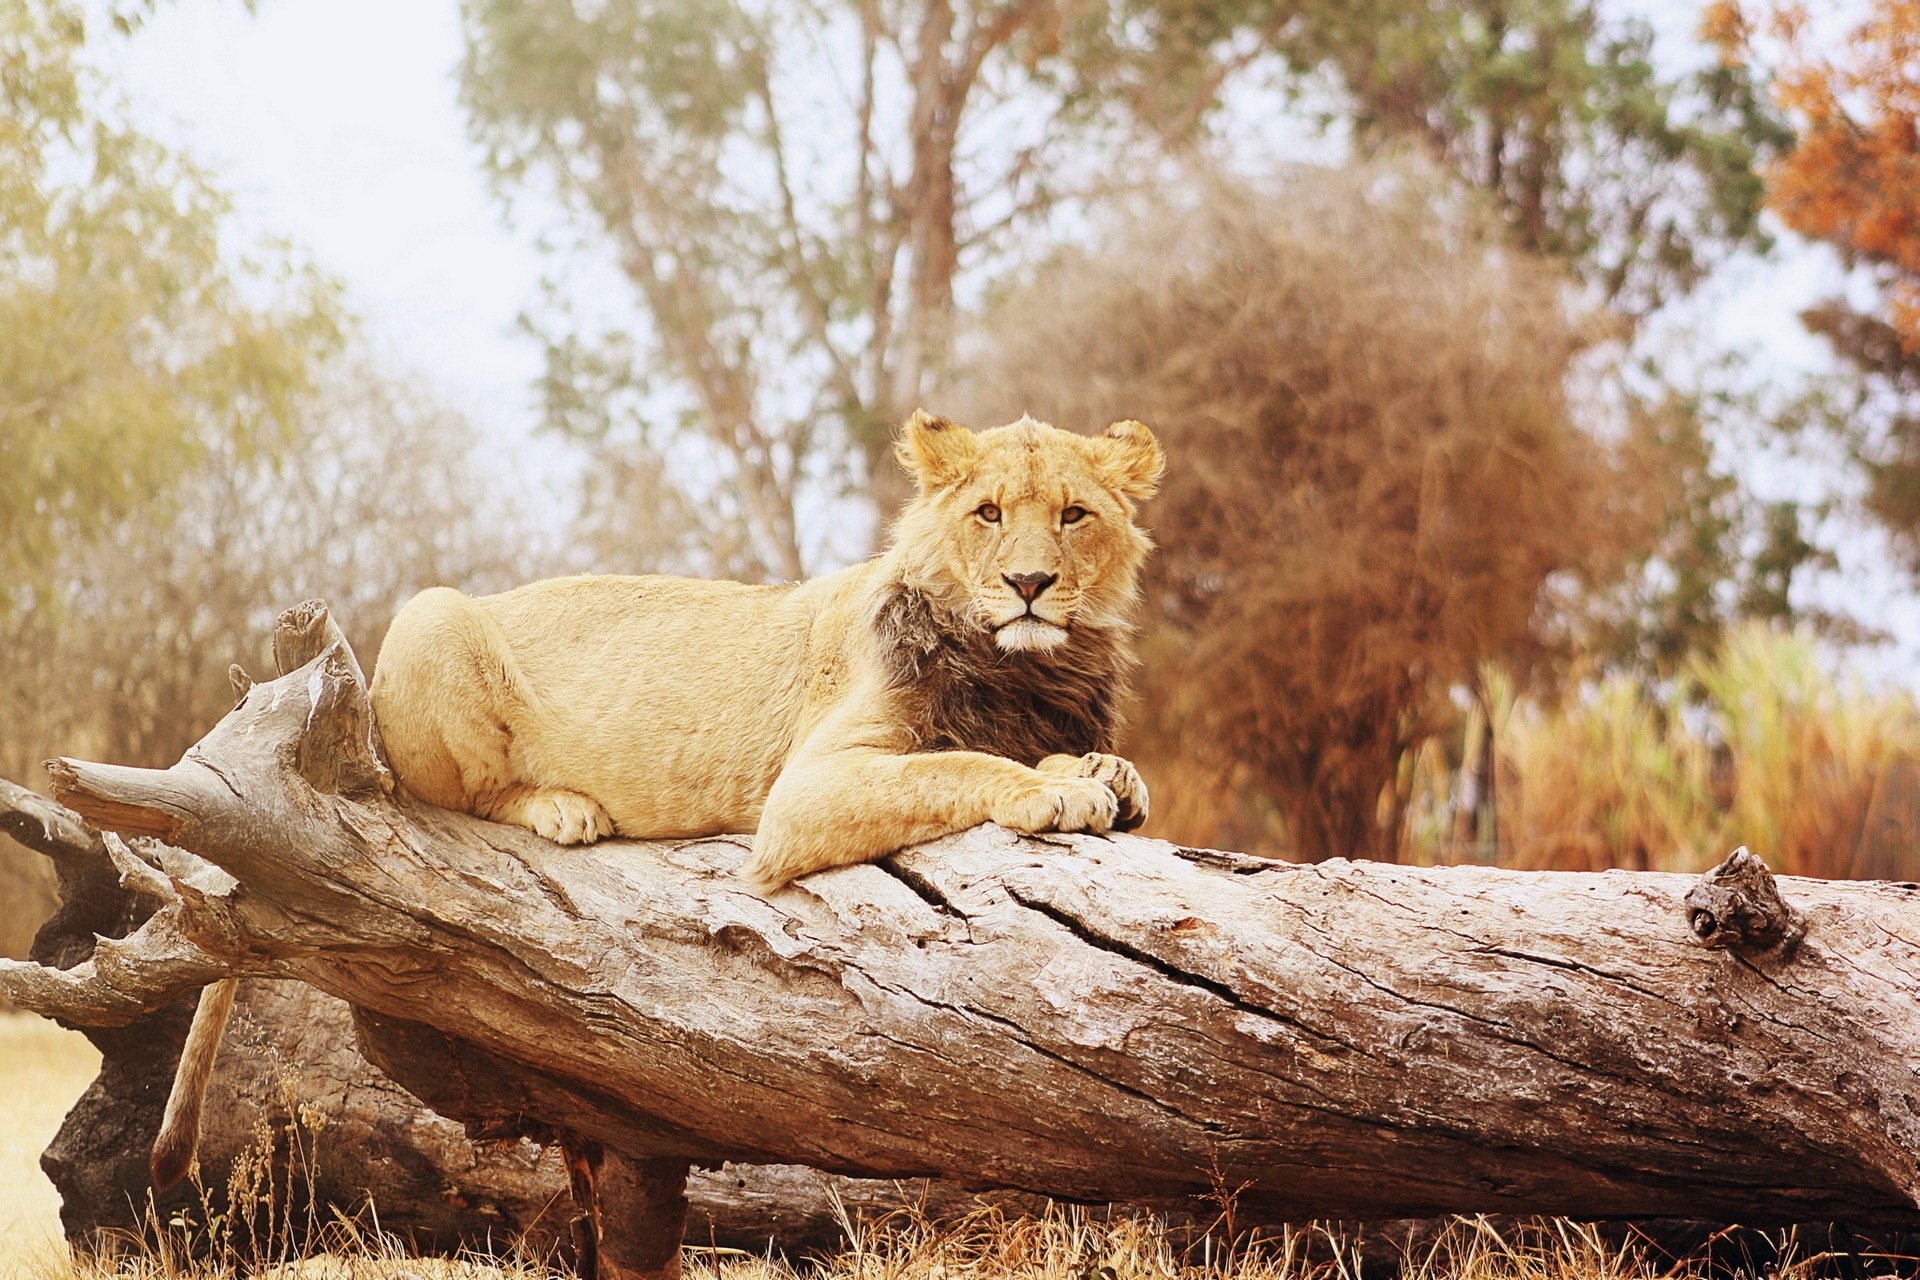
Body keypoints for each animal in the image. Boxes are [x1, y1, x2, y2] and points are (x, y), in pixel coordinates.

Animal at [368, 410, 1159, 890]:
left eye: (1074, 515)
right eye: (988, 513)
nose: (1029, 583)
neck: (1026, 669)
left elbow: (1017, 754)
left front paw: (1104, 770)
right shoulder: (800, 795)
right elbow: (954, 764)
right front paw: (1058, 791)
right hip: (432, 612)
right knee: (471, 798)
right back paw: (565, 808)